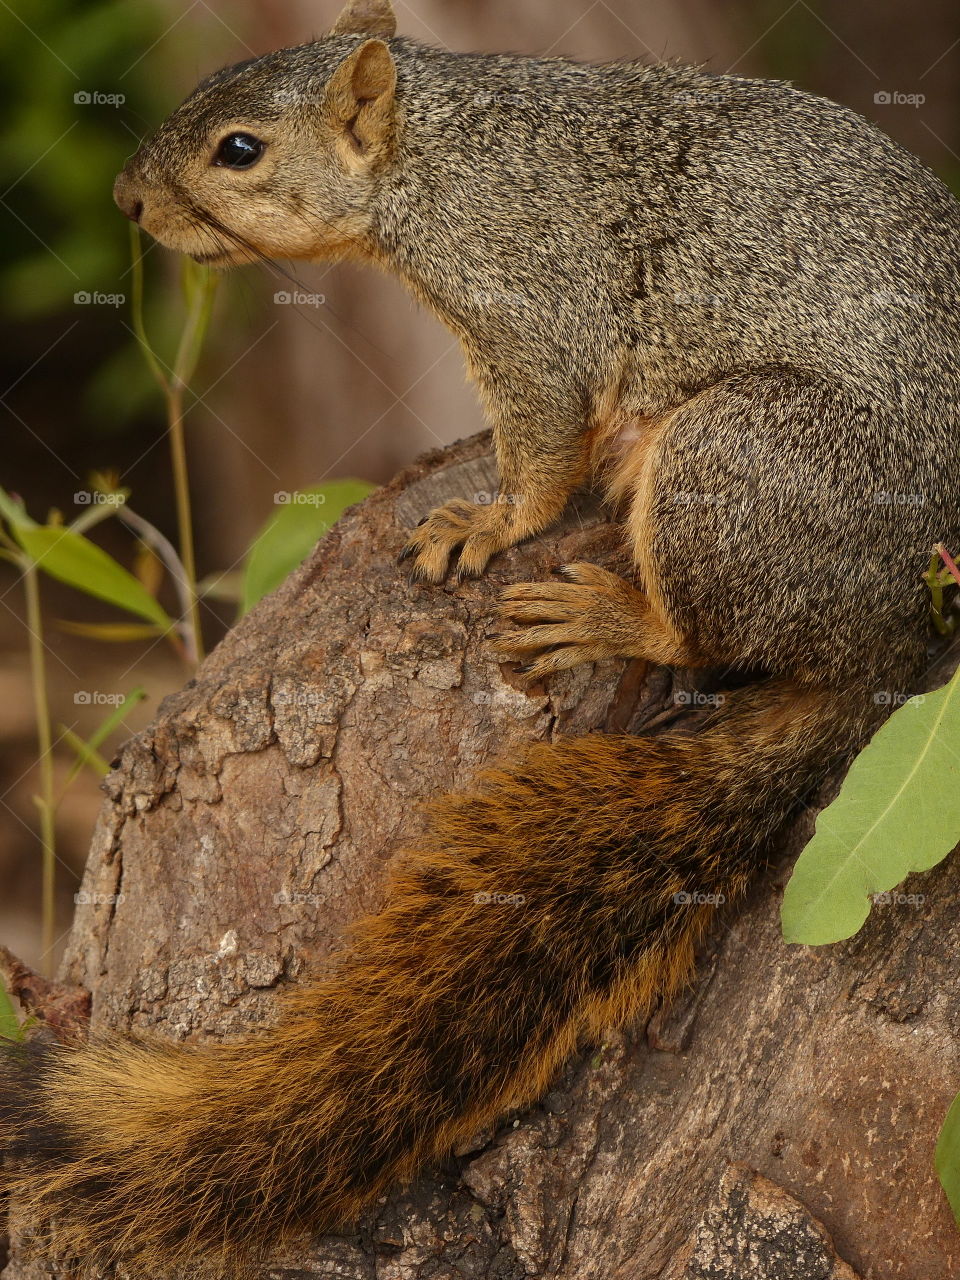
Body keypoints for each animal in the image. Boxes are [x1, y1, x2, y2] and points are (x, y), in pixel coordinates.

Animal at [1, 0, 960, 1269]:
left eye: (240, 151)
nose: (126, 199)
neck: (443, 153)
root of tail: (894, 655)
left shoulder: (529, 304)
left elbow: (543, 448)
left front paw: (488, 520)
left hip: (741, 465)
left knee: (700, 628)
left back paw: (609, 611)